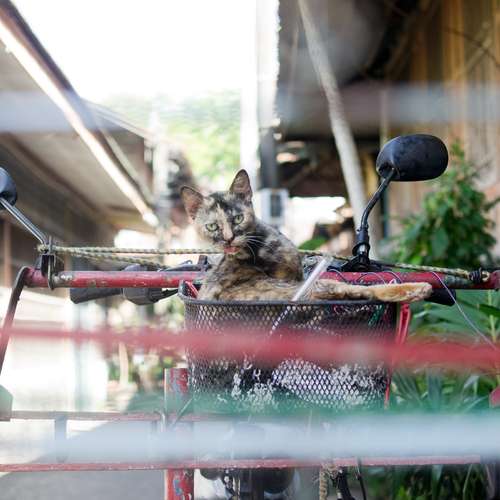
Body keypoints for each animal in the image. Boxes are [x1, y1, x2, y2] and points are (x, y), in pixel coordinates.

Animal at [180, 170, 431, 302]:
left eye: (238, 219)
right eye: (212, 226)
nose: (228, 238)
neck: (264, 247)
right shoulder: (297, 281)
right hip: (309, 287)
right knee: (360, 290)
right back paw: (419, 289)